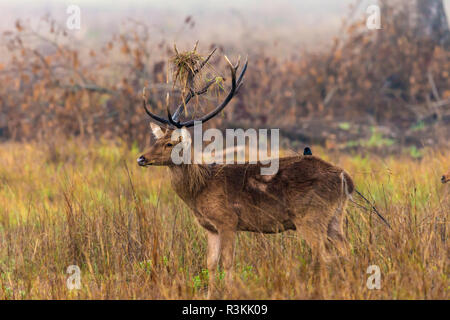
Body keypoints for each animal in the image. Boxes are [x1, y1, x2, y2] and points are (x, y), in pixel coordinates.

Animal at [137, 52, 356, 298]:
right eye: (156, 140)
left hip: (311, 216)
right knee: (347, 250)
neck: (200, 189)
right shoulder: (211, 228)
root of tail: (347, 180)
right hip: (334, 216)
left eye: (169, 144)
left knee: (325, 255)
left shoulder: (227, 220)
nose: (141, 158)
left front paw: (230, 291)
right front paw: (210, 294)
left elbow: (227, 263)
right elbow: (210, 264)